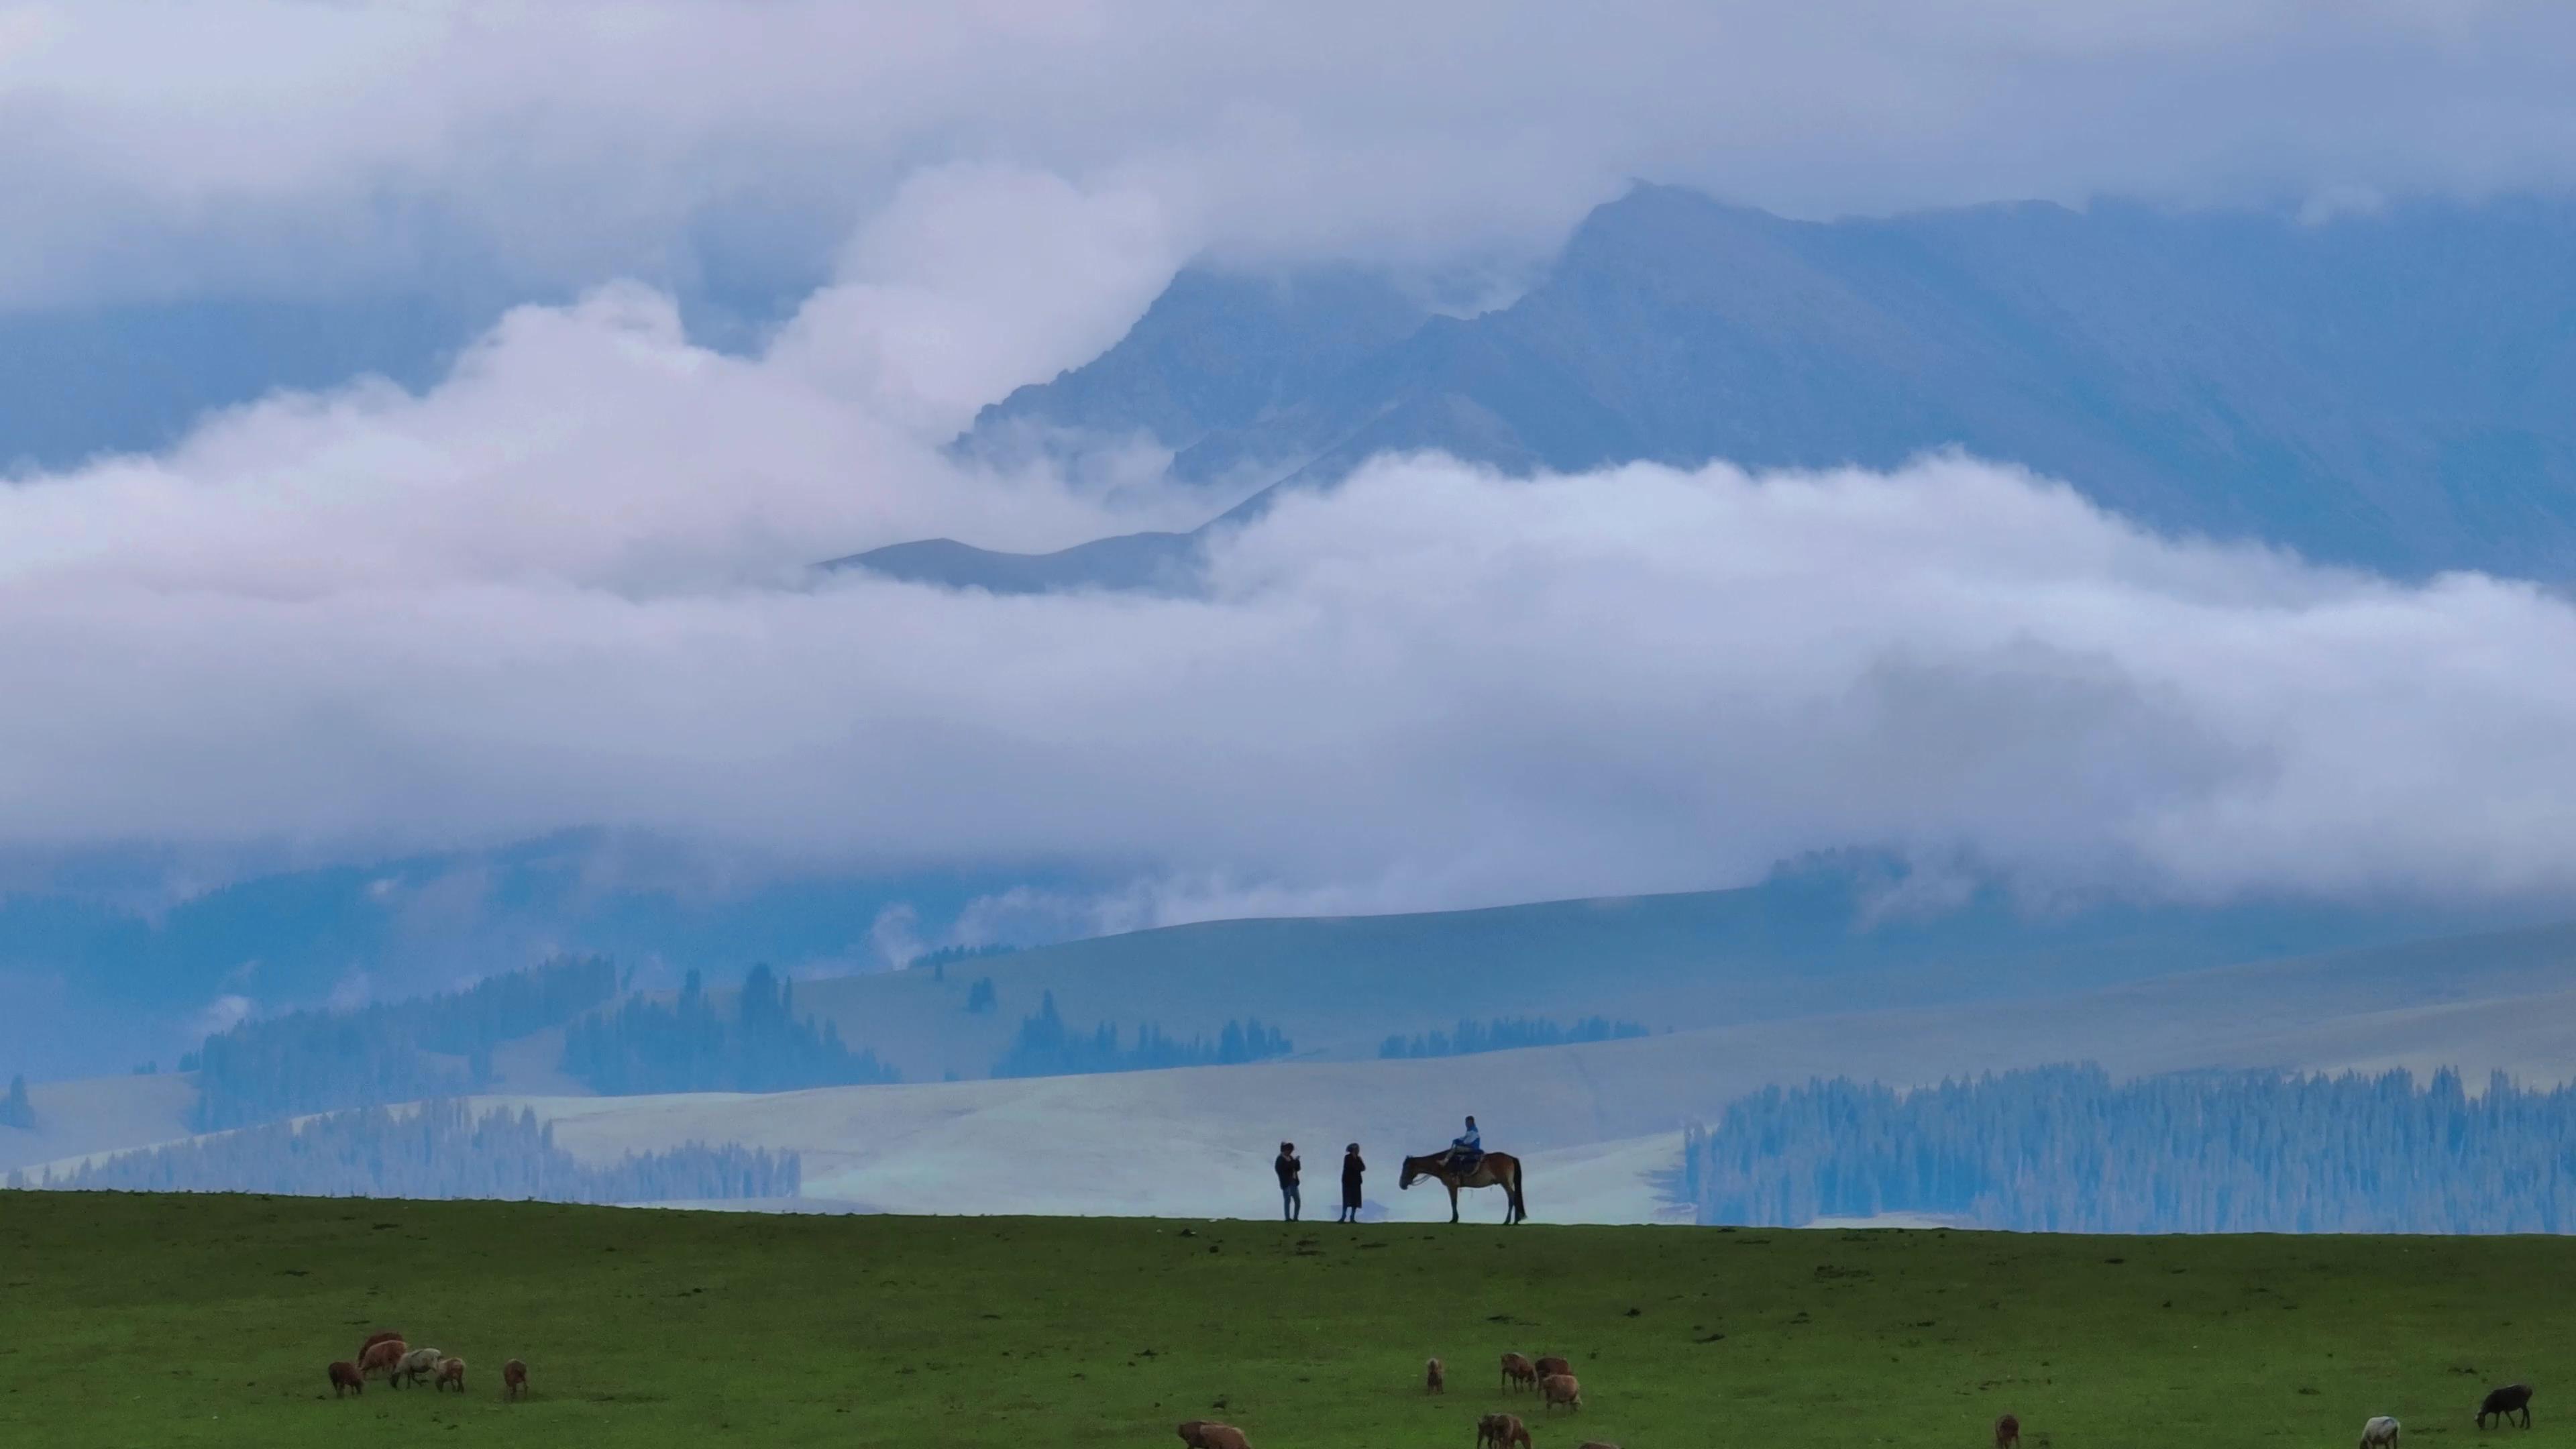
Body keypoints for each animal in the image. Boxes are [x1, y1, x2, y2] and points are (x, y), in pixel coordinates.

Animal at [1401, 1150, 1514, 1217]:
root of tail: (1511, 1158)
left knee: (1512, 1197)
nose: (1401, 1184)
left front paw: (1454, 1219)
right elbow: (1454, 1202)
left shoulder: (1452, 1186)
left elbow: (1454, 1202)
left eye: (1406, 1168)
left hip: (1505, 1182)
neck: (1443, 1165)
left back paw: (1508, 1221)